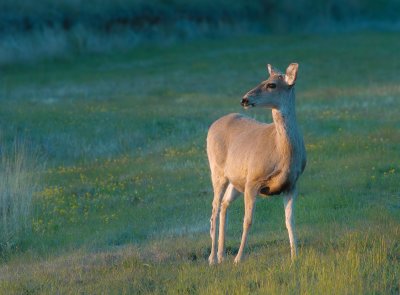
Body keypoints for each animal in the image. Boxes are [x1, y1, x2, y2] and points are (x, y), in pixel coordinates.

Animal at [206, 63, 306, 266]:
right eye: (263, 80)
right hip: (217, 171)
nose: (244, 99)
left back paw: (221, 255)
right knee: (214, 208)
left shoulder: (291, 184)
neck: (283, 152)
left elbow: (289, 220)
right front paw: (238, 258)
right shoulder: (253, 179)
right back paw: (212, 258)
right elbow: (248, 220)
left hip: (236, 180)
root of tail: (213, 125)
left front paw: (295, 256)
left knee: (224, 204)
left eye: (271, 84)